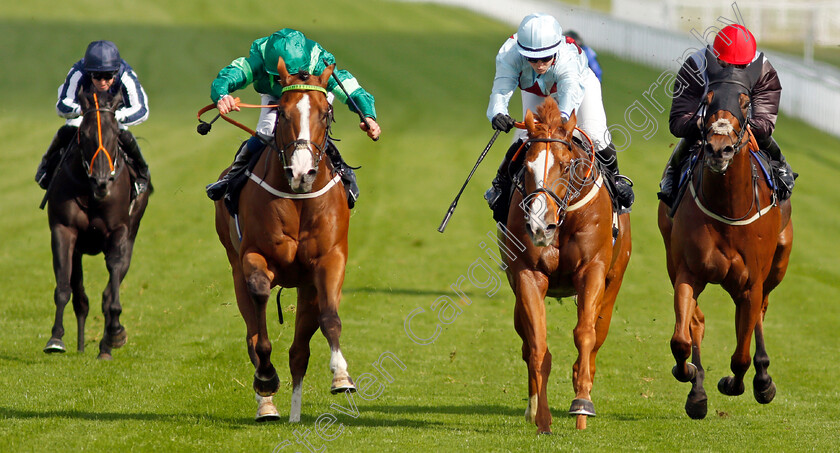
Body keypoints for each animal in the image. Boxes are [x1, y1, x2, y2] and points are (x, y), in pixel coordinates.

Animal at [44, 85, 151, 360]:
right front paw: (56, 338)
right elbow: (64, 286)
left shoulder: (119, 232)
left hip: (131, 235)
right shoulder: (64, 230)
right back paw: (82, 345)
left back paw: (105, 346)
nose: (102, 183)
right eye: (85, 134)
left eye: (114, 135)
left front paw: (115, 334)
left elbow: (111, 288)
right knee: (80, 298)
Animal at [213, 58, 354, 422]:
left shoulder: (330, 259)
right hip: (235, 268)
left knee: (299, 351)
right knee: (252, 332)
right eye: (283, 113)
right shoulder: (254, 255)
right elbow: (260, 310)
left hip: (307, 287)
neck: (299, 198)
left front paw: (341, 376)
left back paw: (294, 413)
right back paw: (268, 406)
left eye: (325, 113)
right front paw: (265, 378)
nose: (302, 172)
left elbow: (330, 318)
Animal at [498, 98, 632, 430]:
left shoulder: (592, 270)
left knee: (597, 335)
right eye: (527, 166)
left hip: (613, 284)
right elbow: (538, 345)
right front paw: (541, 416)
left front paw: (582, 403)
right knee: (526, 341)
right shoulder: (527, 275)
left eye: (565, 164)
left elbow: (585, 333)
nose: (539, 226)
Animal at [656, 65, 796, 418]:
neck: (727, 208)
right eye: (706, 101)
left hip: (778, 266)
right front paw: (690, 376)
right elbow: (682, 338)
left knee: (760, 313)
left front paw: (739, 382)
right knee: (698, 322)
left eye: (745, 104)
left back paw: (763, 379)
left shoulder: (751, 283)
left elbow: (741, 355)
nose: (719, 149)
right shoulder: (688, 273)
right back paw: (697, 391)